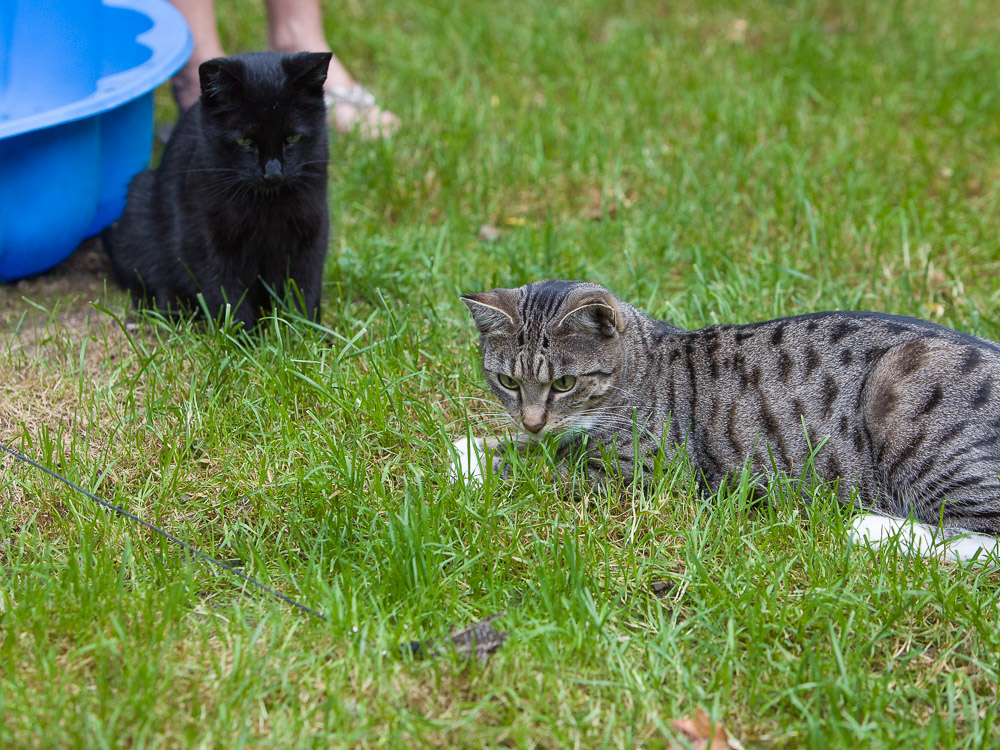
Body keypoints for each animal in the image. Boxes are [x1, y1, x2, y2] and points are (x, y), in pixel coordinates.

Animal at [106, 51, 332, 334]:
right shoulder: (203, 235)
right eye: (245, 141)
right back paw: (172, 311)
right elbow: (225, 291)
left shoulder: (312, 227)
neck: (265, 206)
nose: (272, 173)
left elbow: (305, 284)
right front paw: (242, 338)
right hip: (139, 211)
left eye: (292, 139)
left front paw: (306, 332)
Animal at [458, 282, 1000, 564]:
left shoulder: (636, 472)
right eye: (507, 381)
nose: (532, 420)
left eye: (565, 383)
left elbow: (540, 474)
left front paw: (468, 465)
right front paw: (482, 443)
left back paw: (870, 526)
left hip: (906, 400)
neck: (645, 364)